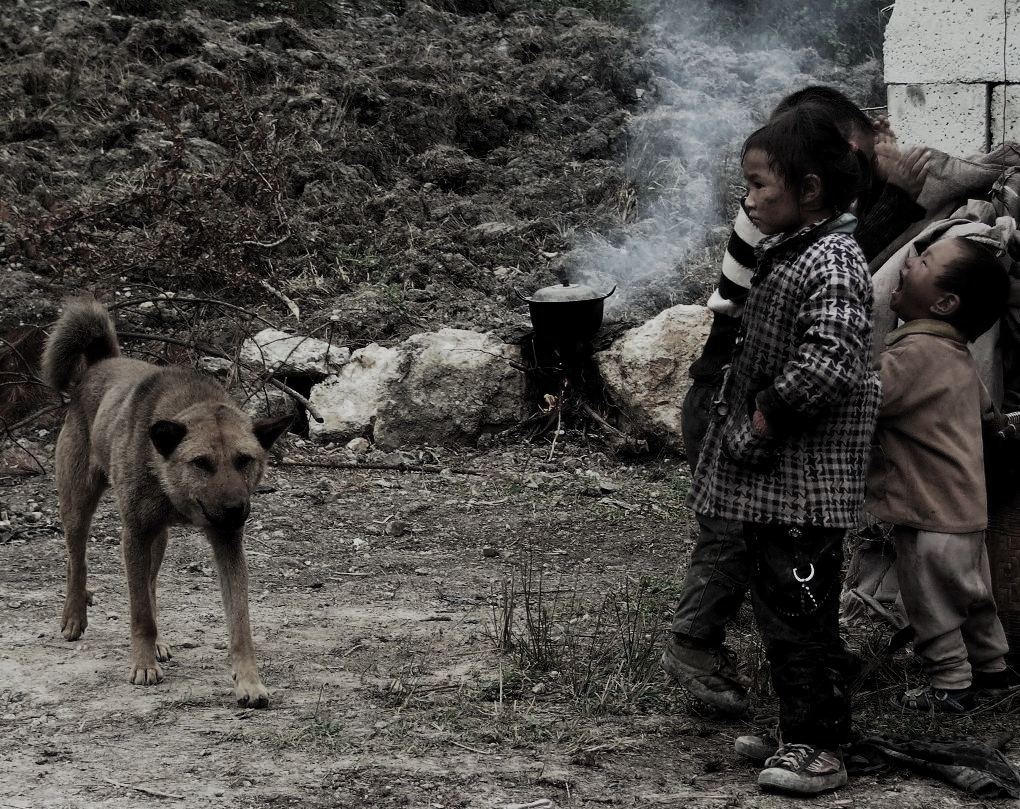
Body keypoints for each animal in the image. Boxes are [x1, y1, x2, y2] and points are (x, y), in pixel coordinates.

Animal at [44, 297, 291, 705]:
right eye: (201, 463)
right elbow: (139, 614)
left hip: (157, 538)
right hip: (79, 506)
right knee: (76, 561)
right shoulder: (134, 534)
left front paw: (249, 680)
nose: (236, 510)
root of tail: (100, 363)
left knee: (150, 583)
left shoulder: (226, 542)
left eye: (244, 460)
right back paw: (74, 616)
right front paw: (143, 665)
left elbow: (239, 622)